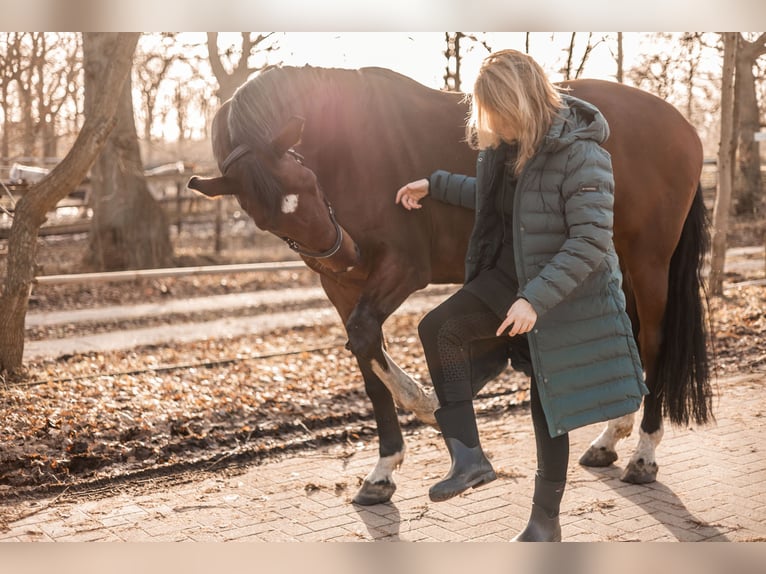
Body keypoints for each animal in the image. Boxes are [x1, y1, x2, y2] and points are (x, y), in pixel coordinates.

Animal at [190, 67, 712, 506]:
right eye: (266, 219)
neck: (349, 148)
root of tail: (682, 124)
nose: (346, 256)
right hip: (614, 259)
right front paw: (383, 471)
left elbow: (365, 335)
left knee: (653, 343)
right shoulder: (341, 289)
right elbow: (364, 352)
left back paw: (643, 454)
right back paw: (609, 438)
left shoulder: (402, 268)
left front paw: (423, 402)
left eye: (307, 180)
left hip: (648, 261)